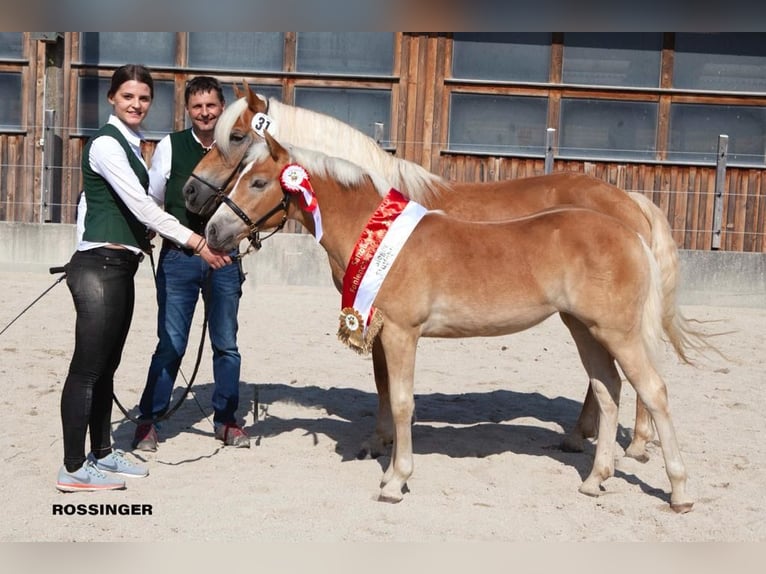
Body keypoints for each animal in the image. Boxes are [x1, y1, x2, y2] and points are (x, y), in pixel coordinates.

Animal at [184, 83, 712, 464]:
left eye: (237, 138)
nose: (193, 197)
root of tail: (629, 200)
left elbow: (385, 383)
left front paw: (380, 443)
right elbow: (384, 380)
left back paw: (637, 445)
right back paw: (585, 436)